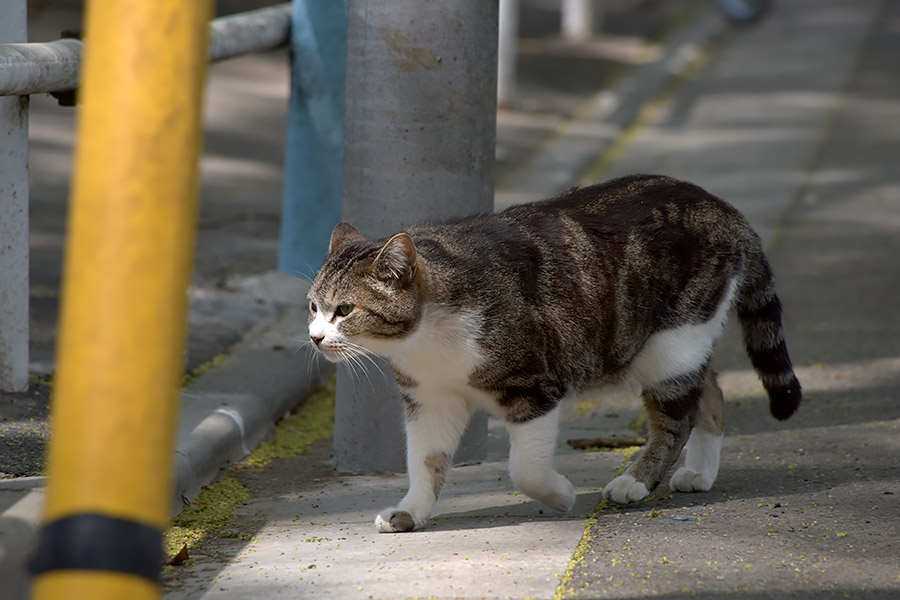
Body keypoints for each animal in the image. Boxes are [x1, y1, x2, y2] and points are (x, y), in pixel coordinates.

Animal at [308, 175, 800, 536]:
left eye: (344, 309)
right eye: (313, 306)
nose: (313, 337)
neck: (426, 341)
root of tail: (722, 208)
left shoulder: (534, 387)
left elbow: (524, 468)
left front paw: (561, 495)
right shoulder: (430, 401)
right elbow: (425, 462)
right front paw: (411, 512)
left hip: (674, 344)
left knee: (678, 418)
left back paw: (635, 481)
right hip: (666, 346)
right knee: (710, 392)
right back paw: (699, 473)